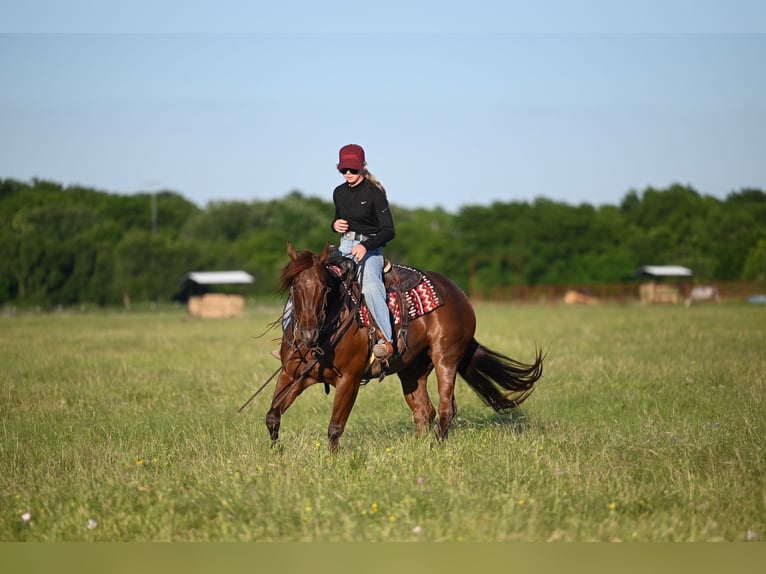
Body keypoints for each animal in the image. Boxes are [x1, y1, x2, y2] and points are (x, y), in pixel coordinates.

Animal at [265, 242, 544, 452]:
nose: (307, 334)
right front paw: (277, 453)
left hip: (445, 358)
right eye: (294, 286)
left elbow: (335, 427)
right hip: (412, 370)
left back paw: (434, 448)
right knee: (424, 411)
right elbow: (272, 417)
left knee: (446, 408)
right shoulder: (293, 375)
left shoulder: (349, 380)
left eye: (324, 289)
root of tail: (458, 294)